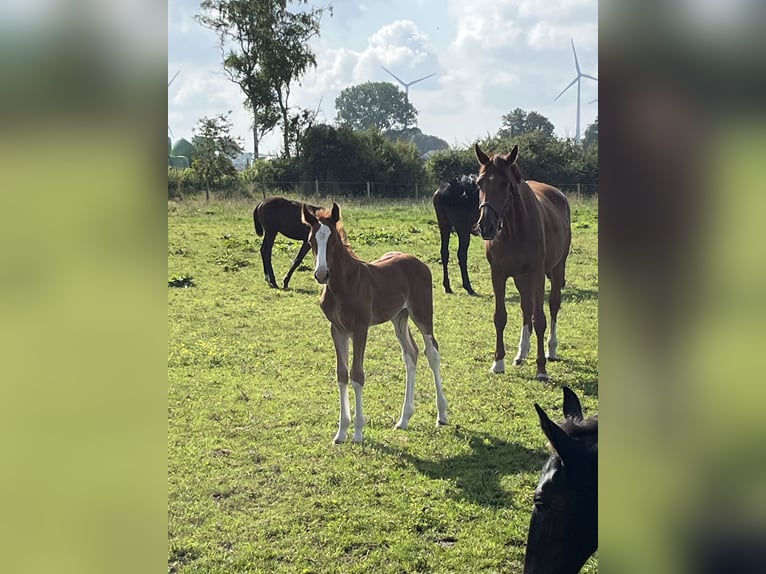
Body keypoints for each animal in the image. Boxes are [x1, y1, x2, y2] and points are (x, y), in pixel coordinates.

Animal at [302, 202, 450, 446]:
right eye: (311, 240)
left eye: (333, 241)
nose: (321, 274)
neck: (343, 285)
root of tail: (418, 261)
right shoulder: (337, 330)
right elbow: (342, 374)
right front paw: (341, 432)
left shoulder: (360, 328)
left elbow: (357, 375)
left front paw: (358, 432)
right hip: (399, 317)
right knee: (411, 354)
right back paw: (404, 418)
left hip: (422, 313)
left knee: (432, 352)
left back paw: (442, 414)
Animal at [476, 143, 572, 382]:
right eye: (479, 183)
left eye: (505, 183)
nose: (486, 226)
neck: (513, 229)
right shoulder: (498, 274)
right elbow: (500, 317)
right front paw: (498, 363)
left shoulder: (537, 273)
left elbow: (540, 319)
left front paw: (541, 369)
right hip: (521, 278)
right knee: (525, 307)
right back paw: (521, 353)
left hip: (556, 269)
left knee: (553, 305)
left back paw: (551, 350)